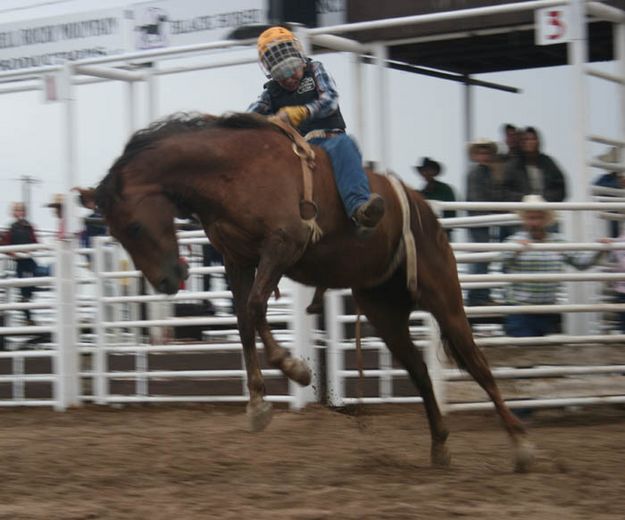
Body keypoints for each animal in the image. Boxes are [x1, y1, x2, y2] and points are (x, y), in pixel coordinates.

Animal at [78, 112, 532, 472]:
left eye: (134, 226)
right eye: (116, 234)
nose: (167, 282)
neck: (231, 170)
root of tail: (426, 211)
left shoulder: (285, 243)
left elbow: (256, 306)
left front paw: (294, 368)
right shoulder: (237, 259)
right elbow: (244, 319)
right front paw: (258, 404)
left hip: (442, 294)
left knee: (476, 362)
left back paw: (520, 444)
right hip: (384, 309)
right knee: (419, 371)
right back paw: (439, 444)